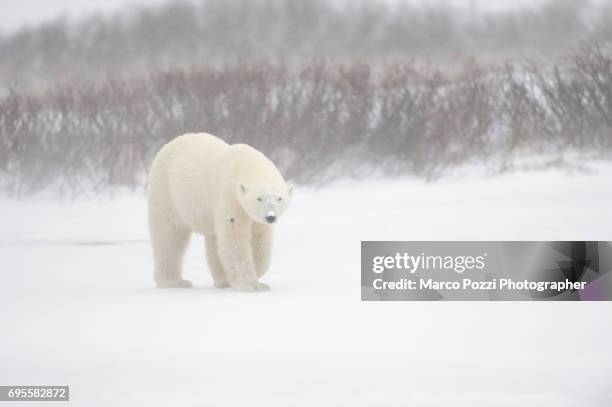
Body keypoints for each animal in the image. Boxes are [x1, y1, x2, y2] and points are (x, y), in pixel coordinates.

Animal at [147, 133, 292, 290]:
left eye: (279, 198)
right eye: (259, 198)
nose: (270, 217)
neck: (245, 164)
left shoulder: (254, 216)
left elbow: (260, 238)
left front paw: (255, 276)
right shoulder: (229, 197)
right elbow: (234, 236)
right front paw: (250, 284)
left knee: (212, 240)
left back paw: (221, 280)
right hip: (167, 192)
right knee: (169, 236)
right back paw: (174, 282)